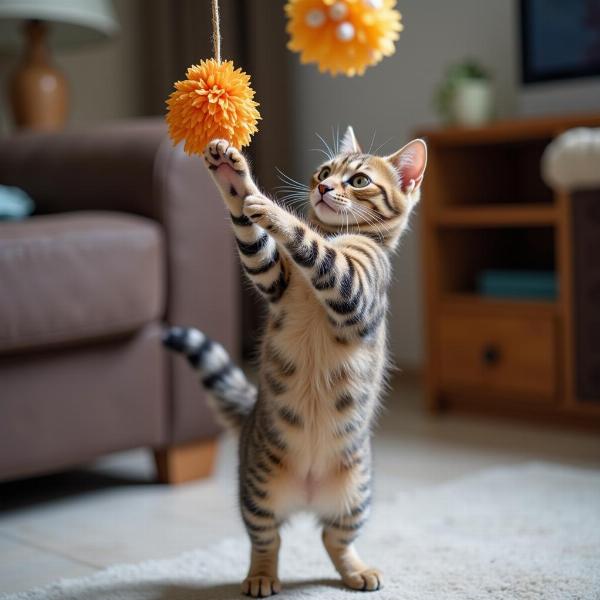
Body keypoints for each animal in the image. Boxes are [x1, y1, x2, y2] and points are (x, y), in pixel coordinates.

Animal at [164, 126, 426, 596]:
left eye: (359, 180)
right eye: (324, 171)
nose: (322, 188)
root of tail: (307, 493)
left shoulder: (354, 288)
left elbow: (313, 244)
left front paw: (274, 209)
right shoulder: (274, 277)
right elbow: (257, 242)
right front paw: (233, 175)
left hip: (355, 495)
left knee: (332, 538)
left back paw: (357, 570)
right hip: (260, 490)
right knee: (268, 539)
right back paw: (261, 576)